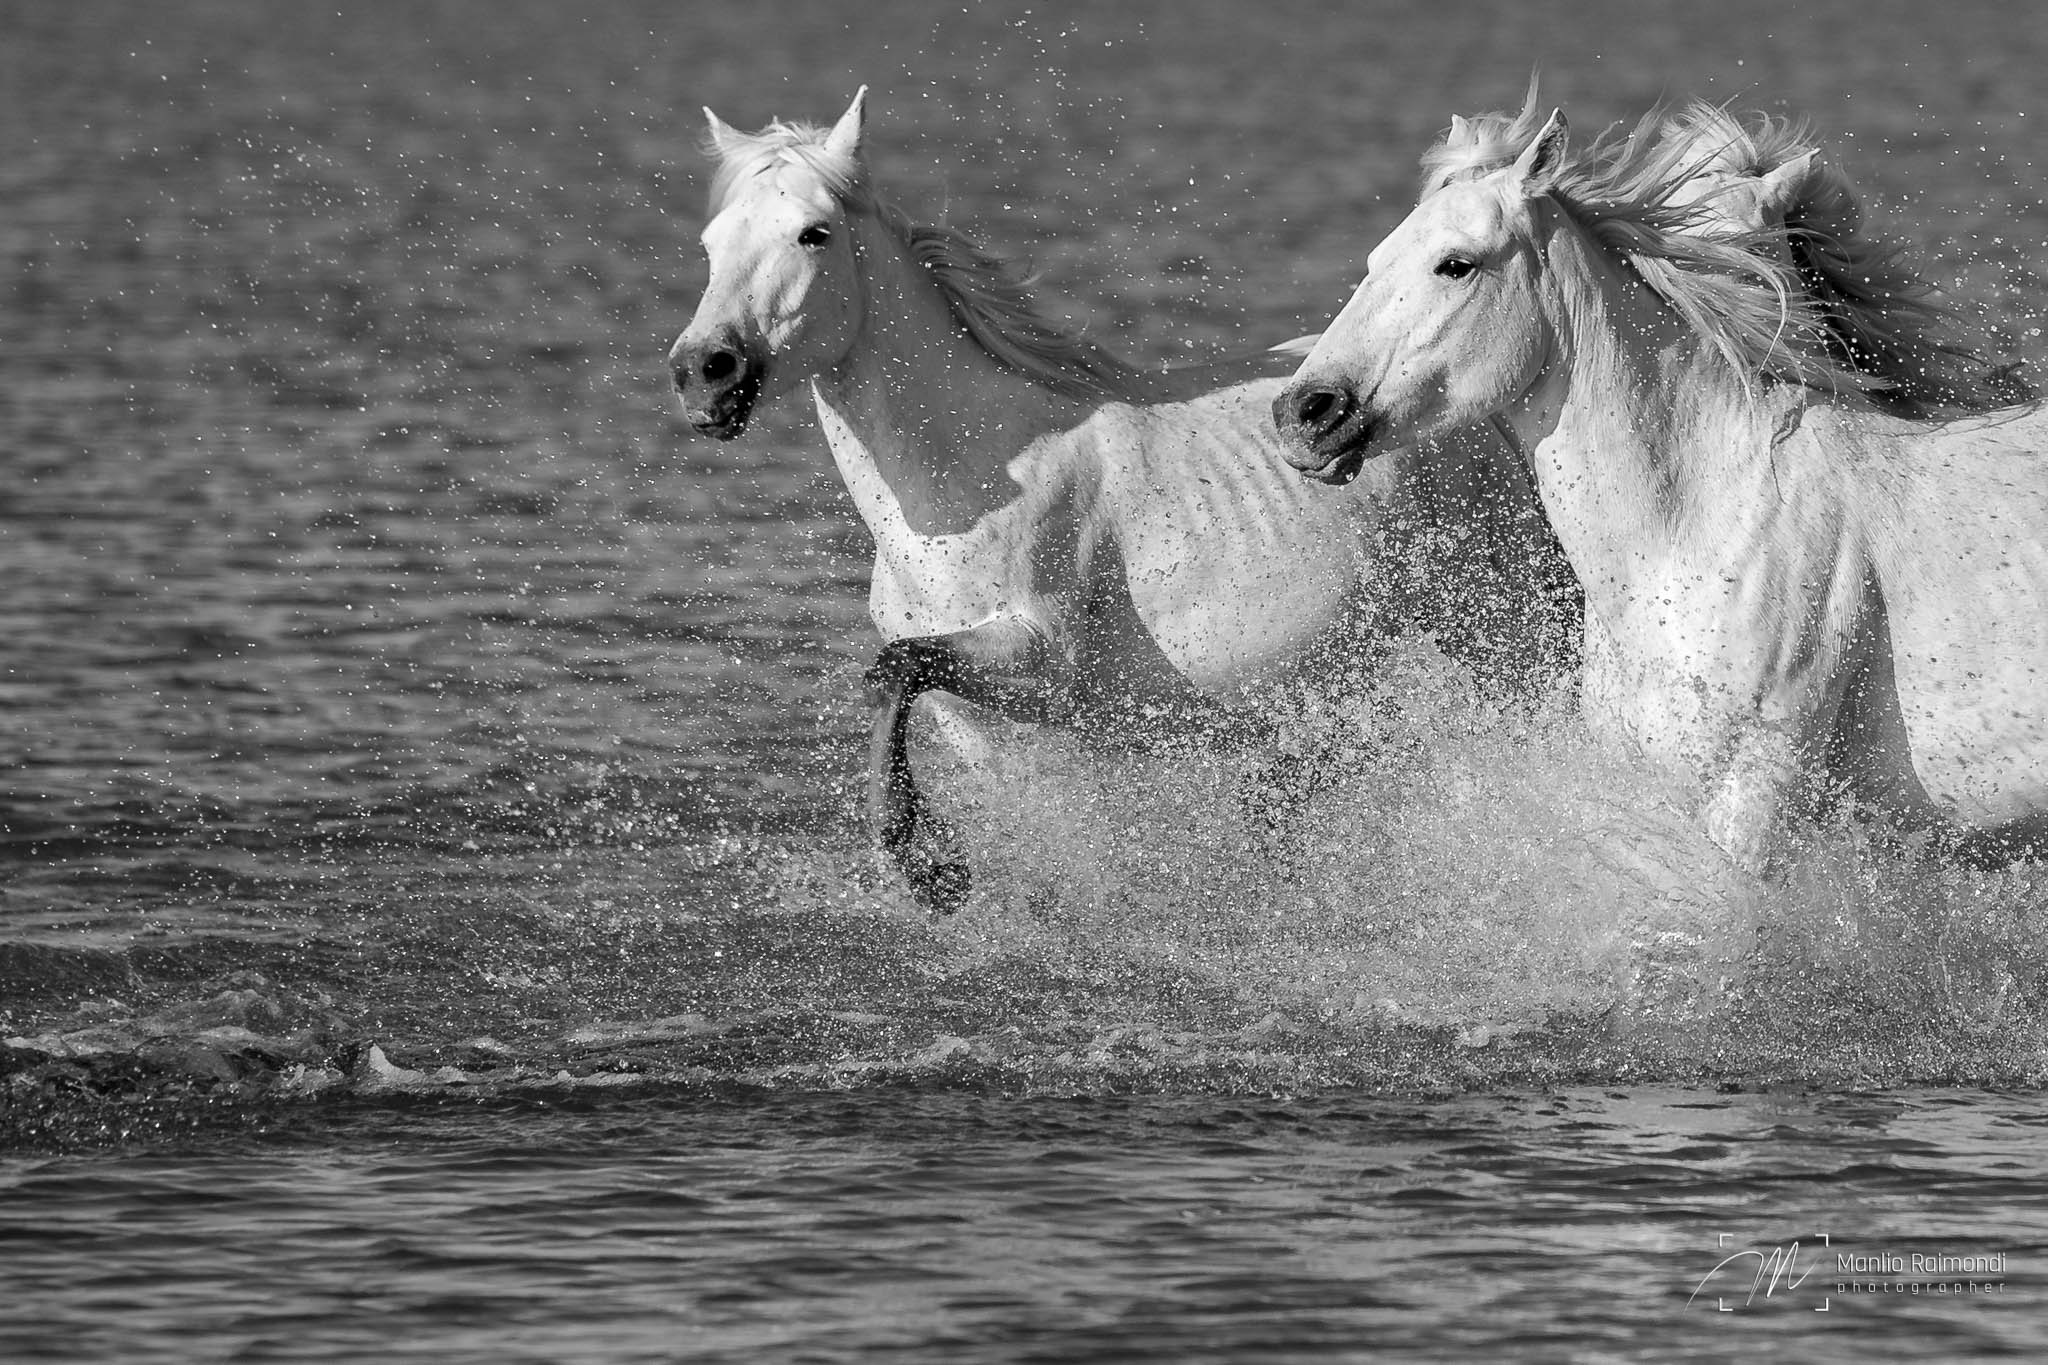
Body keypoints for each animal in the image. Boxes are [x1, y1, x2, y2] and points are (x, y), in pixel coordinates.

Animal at [666, 89, 1579, 910]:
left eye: (813, 233)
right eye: (710, 243)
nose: (703, 372)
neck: (964, 493)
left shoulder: (1046, 665)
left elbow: (897, 671)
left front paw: (926, 868)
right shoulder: (984, 725)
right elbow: (910, 697)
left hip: (1505, 632)